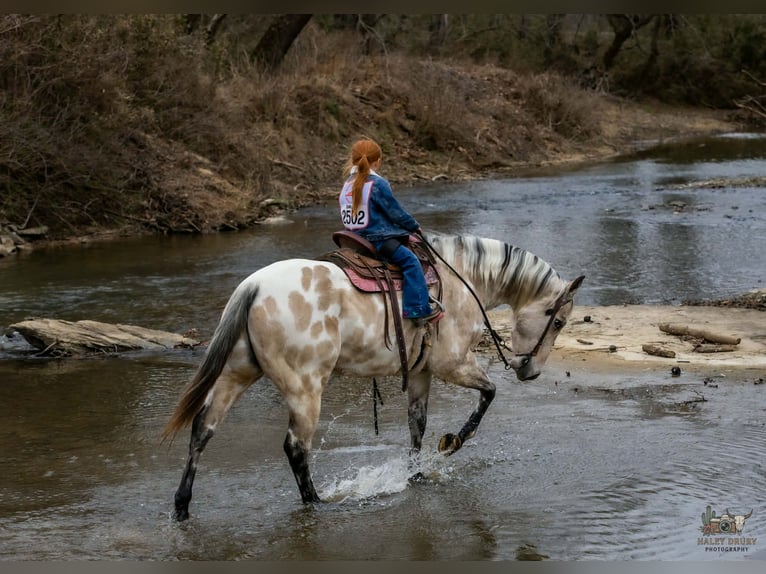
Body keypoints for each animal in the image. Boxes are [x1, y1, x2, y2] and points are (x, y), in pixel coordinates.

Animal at [163, 231, 584, 521]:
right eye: (559, 321)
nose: (530, 370)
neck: (463, 279)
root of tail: (254, 286)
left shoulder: (421, 373)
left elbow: (417, 424)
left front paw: (416, 474)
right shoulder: (452, 365)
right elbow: (489, 393)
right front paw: (452, 443)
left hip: (237, 374)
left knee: (203, 429)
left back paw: (182, 507)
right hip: (305, 389)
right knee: (296, 447)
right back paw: (317, 503)